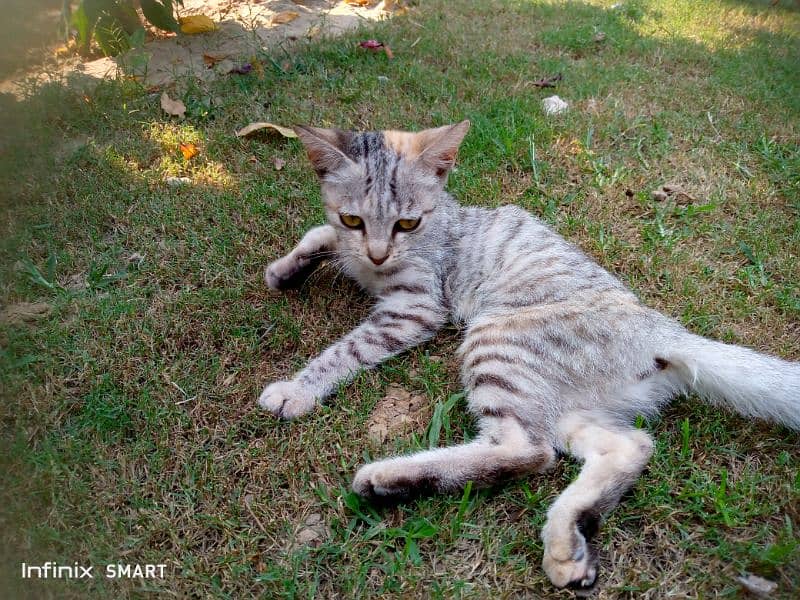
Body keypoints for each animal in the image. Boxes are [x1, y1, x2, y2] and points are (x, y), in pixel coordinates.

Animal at [258, 122, 800, 592]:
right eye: (354, 218)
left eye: (407, 223)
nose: (376, 253)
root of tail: (663, 331)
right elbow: (319, 233)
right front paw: (287, 268)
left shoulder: (413, 309)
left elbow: (347, 348)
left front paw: (297, 389)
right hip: (567, 407)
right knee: (630, 445)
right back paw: (566, 542)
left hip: (495, 343)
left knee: (527, 451)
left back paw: (389, 480)